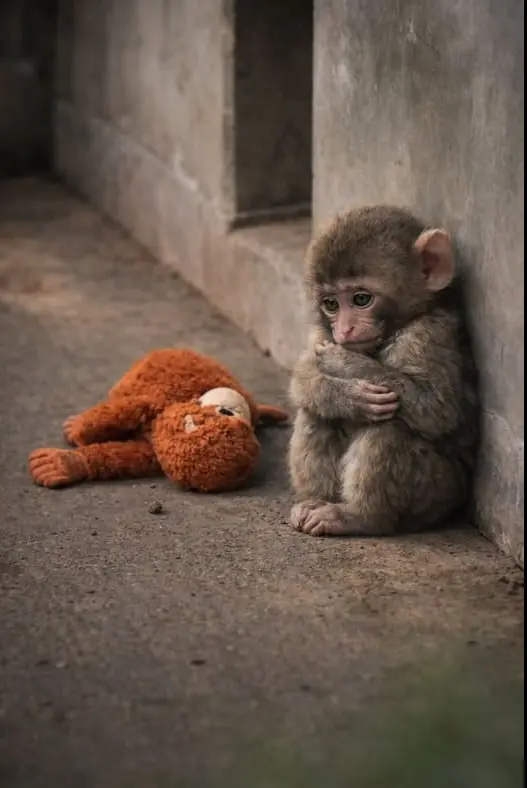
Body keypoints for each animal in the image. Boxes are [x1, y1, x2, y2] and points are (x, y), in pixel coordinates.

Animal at [288, 205, 480, 538]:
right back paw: (316, 501)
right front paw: (347, 397)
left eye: (361, 299)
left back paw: (361, 517)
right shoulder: (322, 332)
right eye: (330, 304)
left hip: (437, 492)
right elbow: (303, 379)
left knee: (390, 425)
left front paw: (345, 362)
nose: (345, 330)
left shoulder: (428, 334)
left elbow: (437, 409)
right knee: (315, 412)